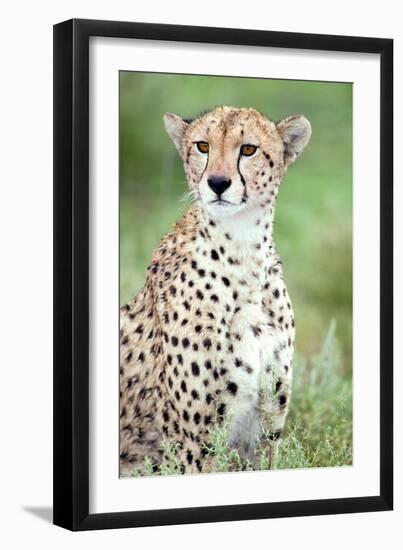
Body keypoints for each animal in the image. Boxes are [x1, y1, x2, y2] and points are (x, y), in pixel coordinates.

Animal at [120, 105, 312, 476]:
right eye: (202, 146)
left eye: (248, 149)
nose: (218, 183)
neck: (242, 253)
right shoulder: (197, 444)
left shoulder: (265, 428)